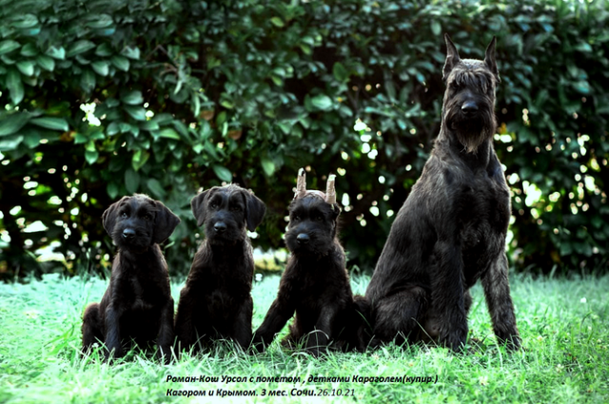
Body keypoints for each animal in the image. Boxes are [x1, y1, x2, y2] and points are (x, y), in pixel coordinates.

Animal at [79, 194, 178, 362]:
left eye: (146, 216)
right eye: (124, 214)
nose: (128, 234)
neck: (137, 262)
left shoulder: (165, 302)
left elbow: (165, 334)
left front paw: (165, 360)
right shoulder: (115, 304)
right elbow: (113, 337)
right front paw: (111, 362)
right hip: (91, 310)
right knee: (88, 345)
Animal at [172, 185, 264, 352]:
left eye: (236, 208)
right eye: (213, 205)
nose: (219, 228)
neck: (224, 254)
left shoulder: (243, 297)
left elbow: (242, 329)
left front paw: (240, 354)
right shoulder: (191, 290)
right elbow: (185, 324)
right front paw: (183, 351)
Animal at [251, 170, 368, 356]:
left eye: (319, 218)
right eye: (296, 217)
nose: (302, 238)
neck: (312, 262)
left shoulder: (331, 300)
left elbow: (320, 328)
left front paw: (311, 354)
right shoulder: (285, 297)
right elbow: (269, 323)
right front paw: (250, 348)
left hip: (359, 304)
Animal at [364, 34, 520, 350]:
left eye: (485, 84)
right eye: (454, 85)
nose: (469, 109)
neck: (473, 161)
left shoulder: (497, 243)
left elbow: (502, 301)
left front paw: (512, 345)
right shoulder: (449, 241)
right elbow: (450, 300)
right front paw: (456, 344)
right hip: (412, 294)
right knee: (393, 340)